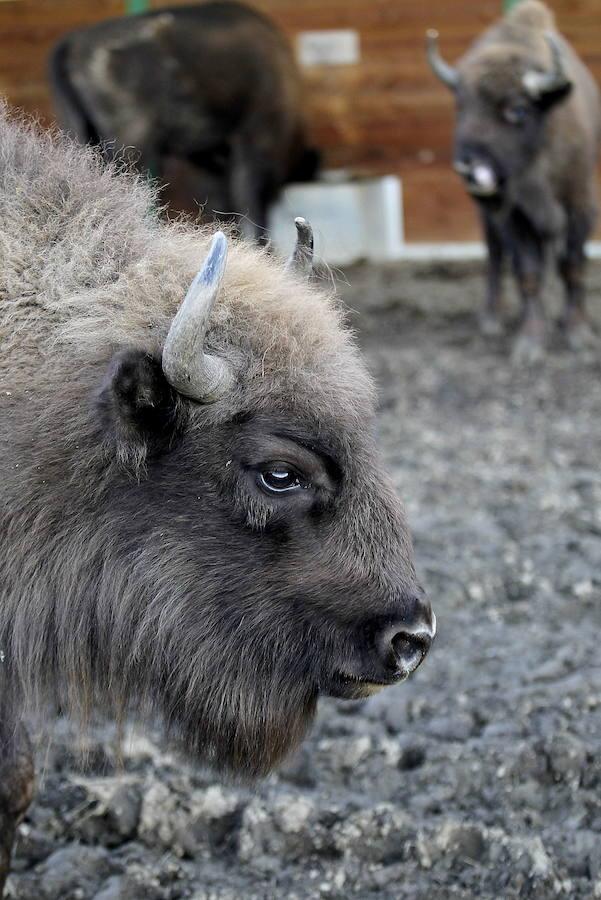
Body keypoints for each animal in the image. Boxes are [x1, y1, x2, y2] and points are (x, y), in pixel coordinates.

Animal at [426, 0, 600, 358]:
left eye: (518, 109)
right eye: (461, 106)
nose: (469, 167)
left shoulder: (580, 206)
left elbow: (572, 265)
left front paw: (579, 333)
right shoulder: (514, 215)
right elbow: (528, 273)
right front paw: (530, 342)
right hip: (489, 217)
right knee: (495, 257)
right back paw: (493, 319)